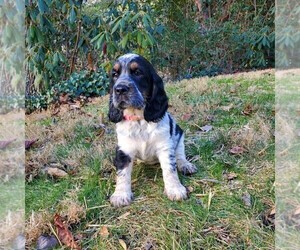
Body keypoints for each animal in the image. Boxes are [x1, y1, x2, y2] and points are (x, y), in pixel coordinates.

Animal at [108, 53, 197, 207]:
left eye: (137, 72)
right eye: (115, 74)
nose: (119, 89)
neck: (139, 119)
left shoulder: (165, 147)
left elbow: (170, 169)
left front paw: (175, 189)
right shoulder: (124, 150)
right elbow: (122, 173)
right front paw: (120, 195)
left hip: (179, 136)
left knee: (180, 155)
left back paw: (186, 165)